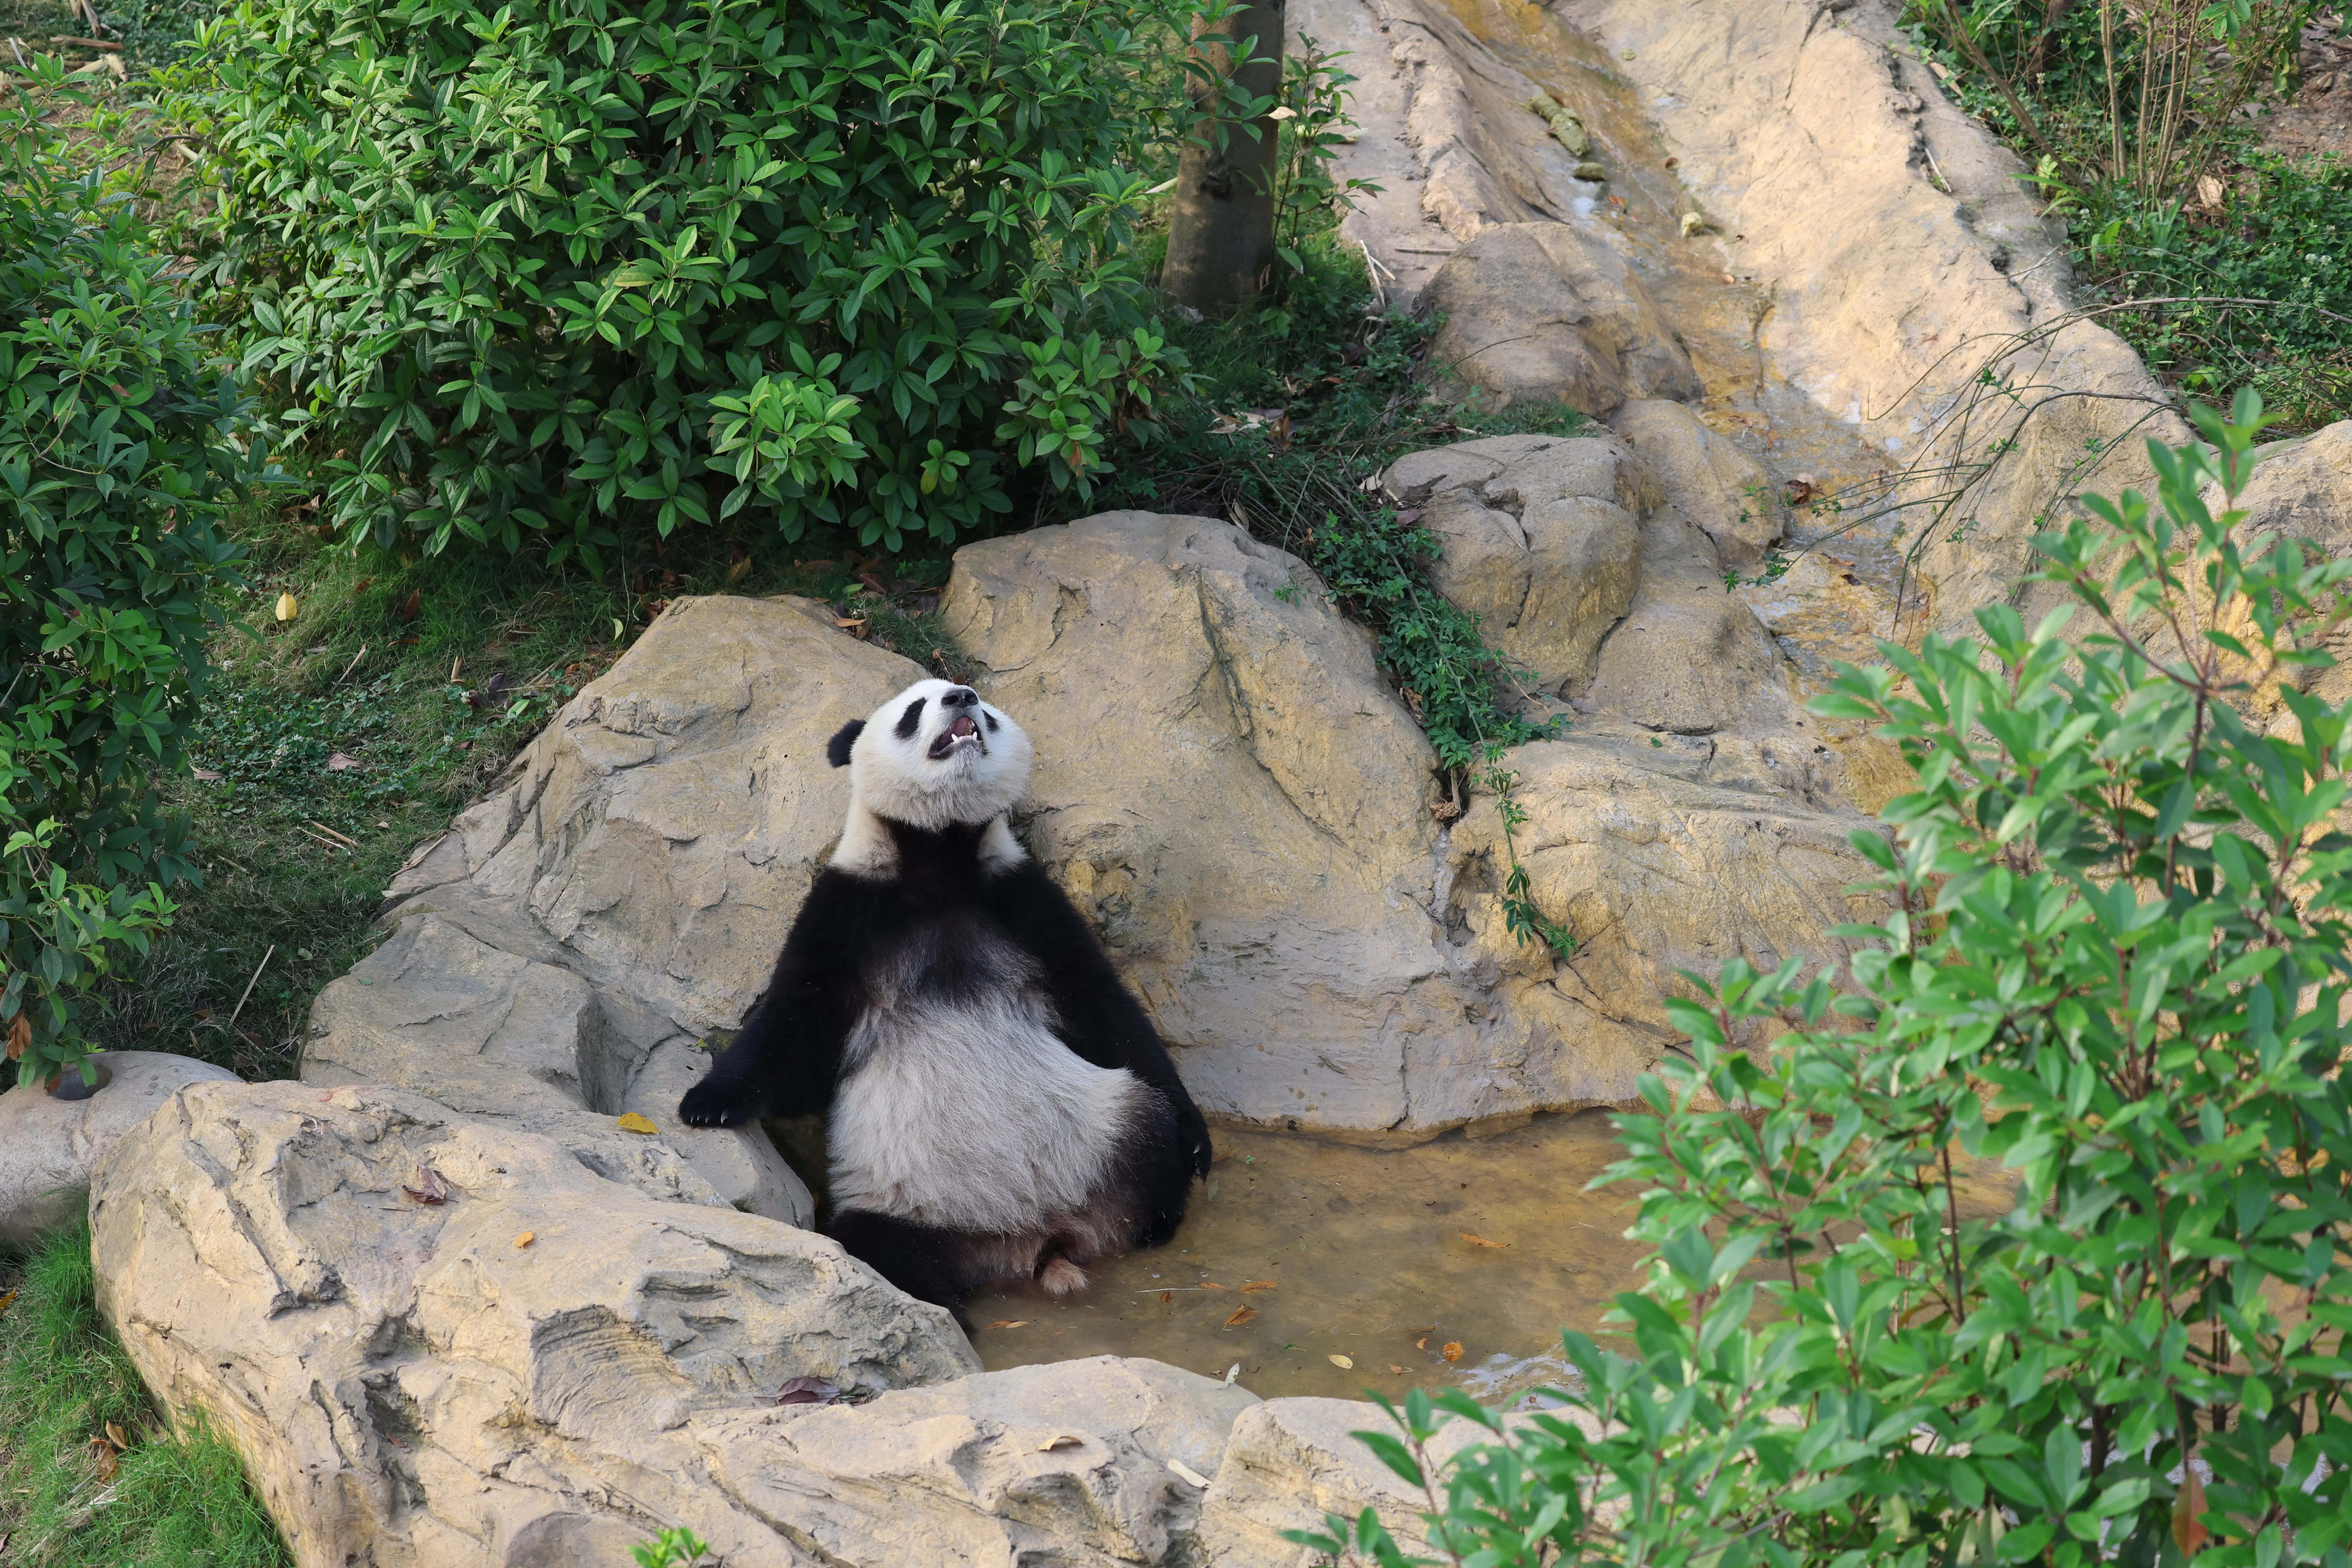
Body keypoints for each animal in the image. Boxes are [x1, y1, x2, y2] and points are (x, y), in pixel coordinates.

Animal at [678, 676, 1212, 1317]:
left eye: (986, 708)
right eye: (914, 710)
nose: (961, 696)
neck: (939, 857)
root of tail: (1039, 1238)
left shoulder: (1023, 900)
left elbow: (1101, 1005)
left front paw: (1200, 1141)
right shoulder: (849, 909)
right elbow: (795, 1029)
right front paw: (707, 1103)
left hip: (1103, 1131)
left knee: (1150, 1133)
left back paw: (1160, 1211)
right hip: (901, 1201)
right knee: (881, 1250)